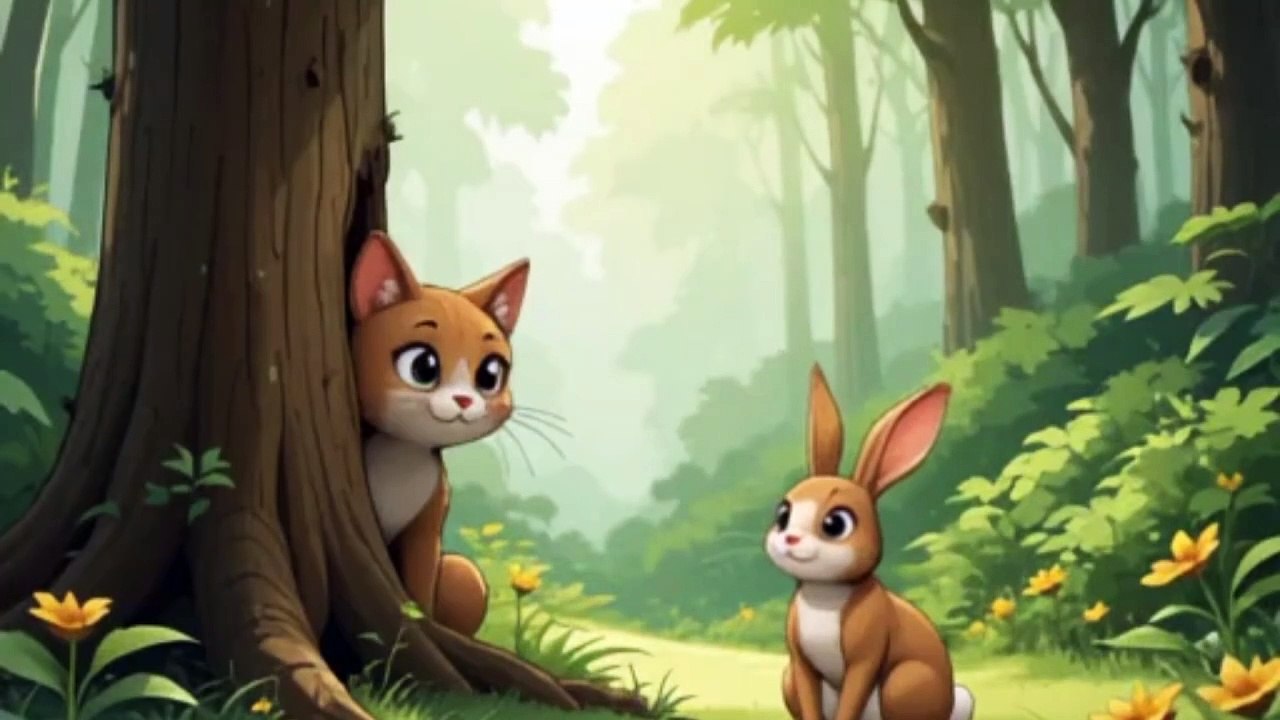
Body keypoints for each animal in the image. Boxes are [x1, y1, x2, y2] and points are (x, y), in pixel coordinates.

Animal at [767, 365, 975, 720]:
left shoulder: (867, 654)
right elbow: (808, 697)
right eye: (783, 514)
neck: (826, 595)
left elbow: (853, 696)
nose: (790, 538)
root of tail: (951, 704)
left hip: (904, 682)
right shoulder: (800, 662)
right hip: (788, 679)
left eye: (836, 523)